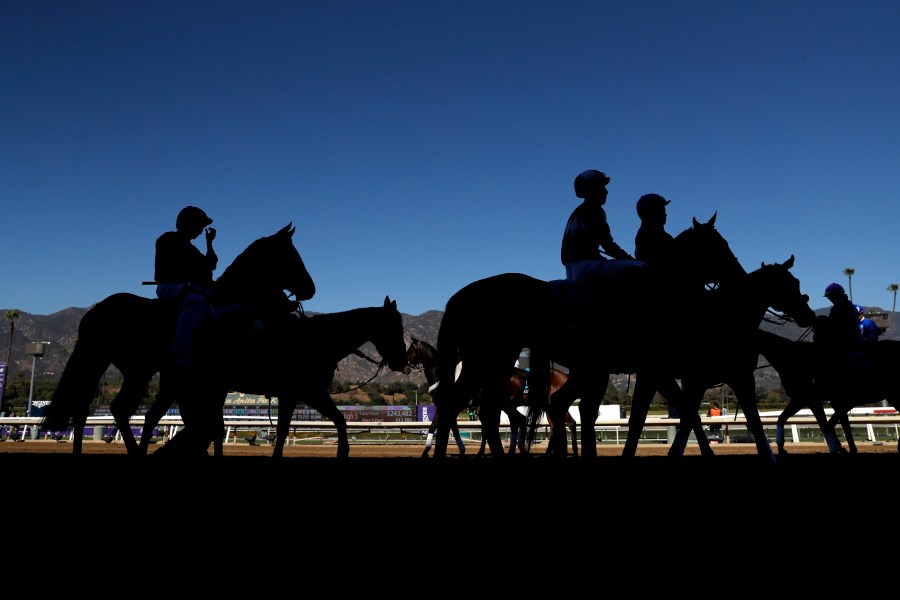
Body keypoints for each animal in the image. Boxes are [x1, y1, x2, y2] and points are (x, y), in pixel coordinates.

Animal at [43, 224, 316, 454]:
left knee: (94, 409)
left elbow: (209, 425)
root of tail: (95, 311)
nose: (310, 289)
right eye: (292, 256)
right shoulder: (210, 381)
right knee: (108, 409)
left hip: (123, 366)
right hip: (121, 365)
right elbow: (209, 426)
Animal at [432, 216, 740, 460]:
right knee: (460, 407)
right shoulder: (651, 369)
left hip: (499, 364)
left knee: (487, 413)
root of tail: (458, 298)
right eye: (719, 245)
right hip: (486, 361)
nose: (737, 273)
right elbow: (665, 414)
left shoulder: (632, 370)